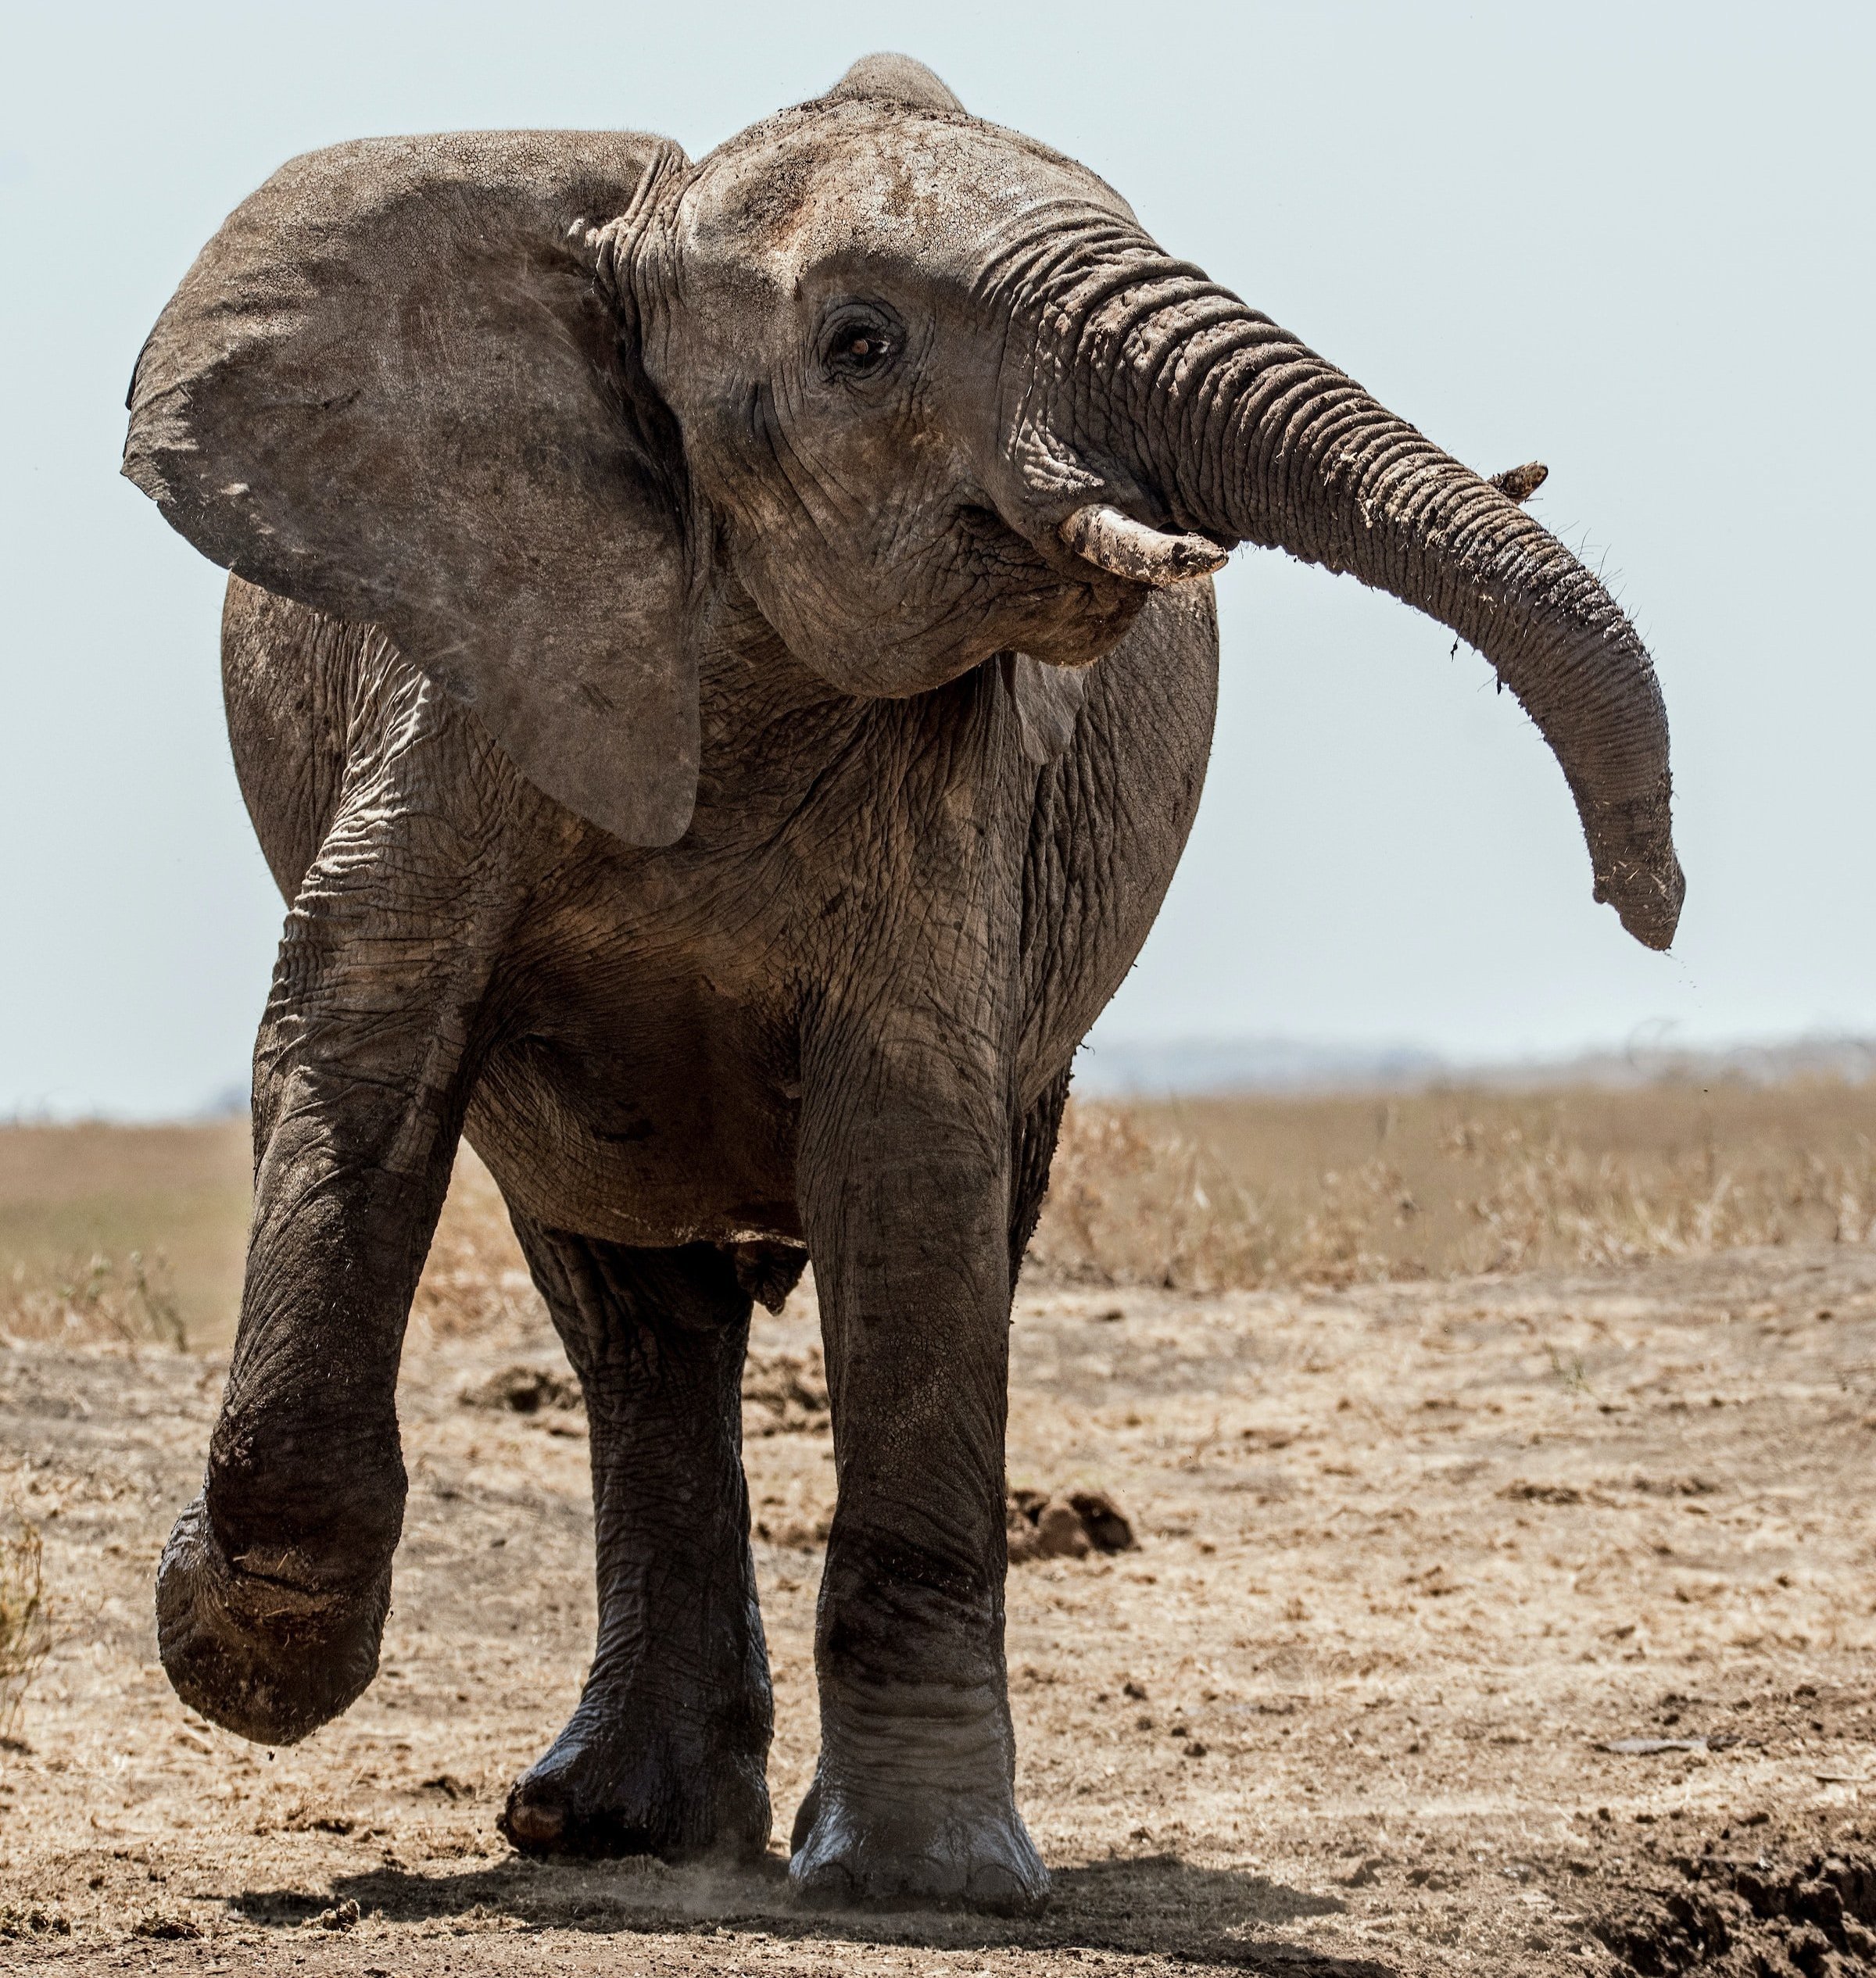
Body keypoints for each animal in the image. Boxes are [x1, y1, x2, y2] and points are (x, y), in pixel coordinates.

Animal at [121, 52, 1681, 1914]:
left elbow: (912, 1146)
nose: (1647, 900)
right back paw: (605, 1823)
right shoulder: (469, 664)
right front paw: (241, 1657)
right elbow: (360, 1018)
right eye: (862, 344)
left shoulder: (957, 782)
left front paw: (922, 1883)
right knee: (632, 1314)